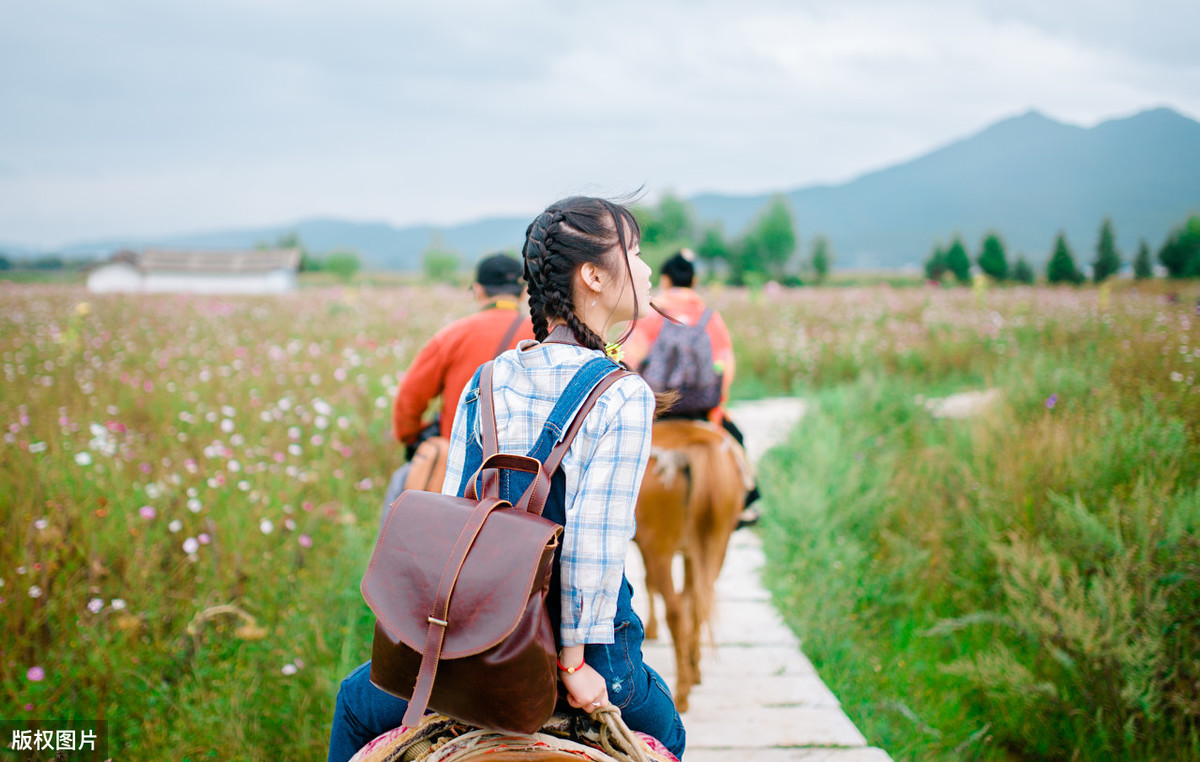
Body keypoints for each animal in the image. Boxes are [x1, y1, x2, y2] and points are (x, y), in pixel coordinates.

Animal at [633, 420, 744, 710]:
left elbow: (649, 584)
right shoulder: (692, 555)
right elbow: (692, 599)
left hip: (659, 549)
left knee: (675, 610)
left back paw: (682, 693)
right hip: (717, 545)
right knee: (697, 604)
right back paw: (693, 671)